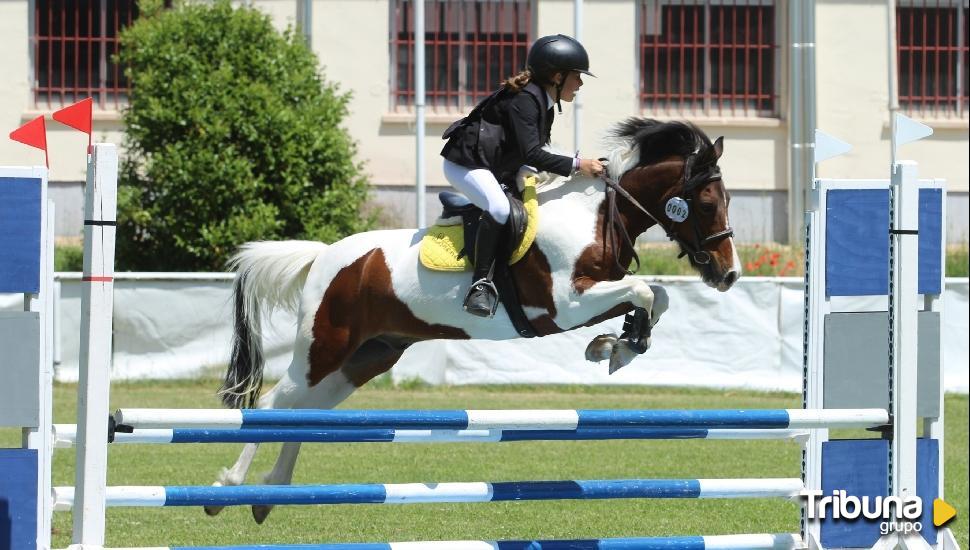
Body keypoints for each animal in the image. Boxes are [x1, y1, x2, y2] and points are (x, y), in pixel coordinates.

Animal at [206, 118, 740, 524]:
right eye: (707, 203)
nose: (729, 274)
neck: (593, 215)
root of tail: (325, 257)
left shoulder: (591, 296)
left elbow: (657, 295)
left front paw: (619, 344)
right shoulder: (565, 304)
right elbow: (645, 289)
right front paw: (616, 345)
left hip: (365, 357)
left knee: (306, 411)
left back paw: (269, 494)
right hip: (324, 347)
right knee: (274, 402)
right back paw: (227, 488)